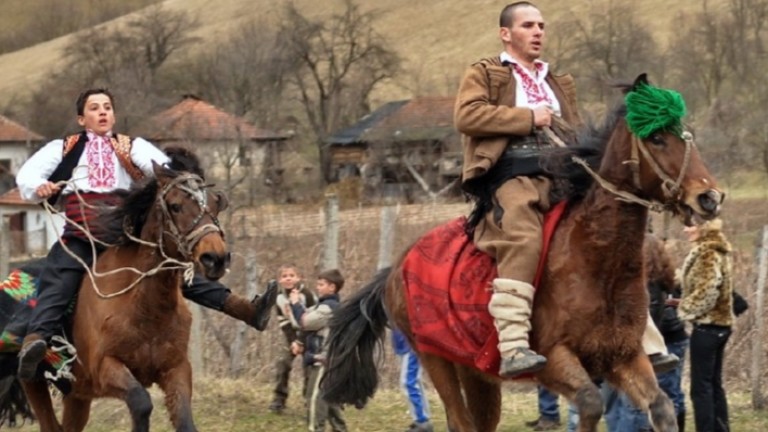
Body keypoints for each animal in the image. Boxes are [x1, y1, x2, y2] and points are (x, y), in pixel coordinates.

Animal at [21, 157, 228, 430]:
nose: (215, 258)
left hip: (77, 395)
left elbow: (184, 421)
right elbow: (141, 403)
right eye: (175, 206)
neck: (147, 309)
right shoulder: (105, 367)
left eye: (215, 203)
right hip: (35, 382)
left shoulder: (177, 368)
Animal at [328, 75, 724, 432]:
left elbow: (661, 407)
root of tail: (396, 267)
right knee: (461, 421)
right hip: (434, 357)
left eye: (686, 134)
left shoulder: (623, 357)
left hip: (476, 373)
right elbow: (590, 403)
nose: (709, 197)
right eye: (657, 138)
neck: (596, 262)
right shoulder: (554, 359)